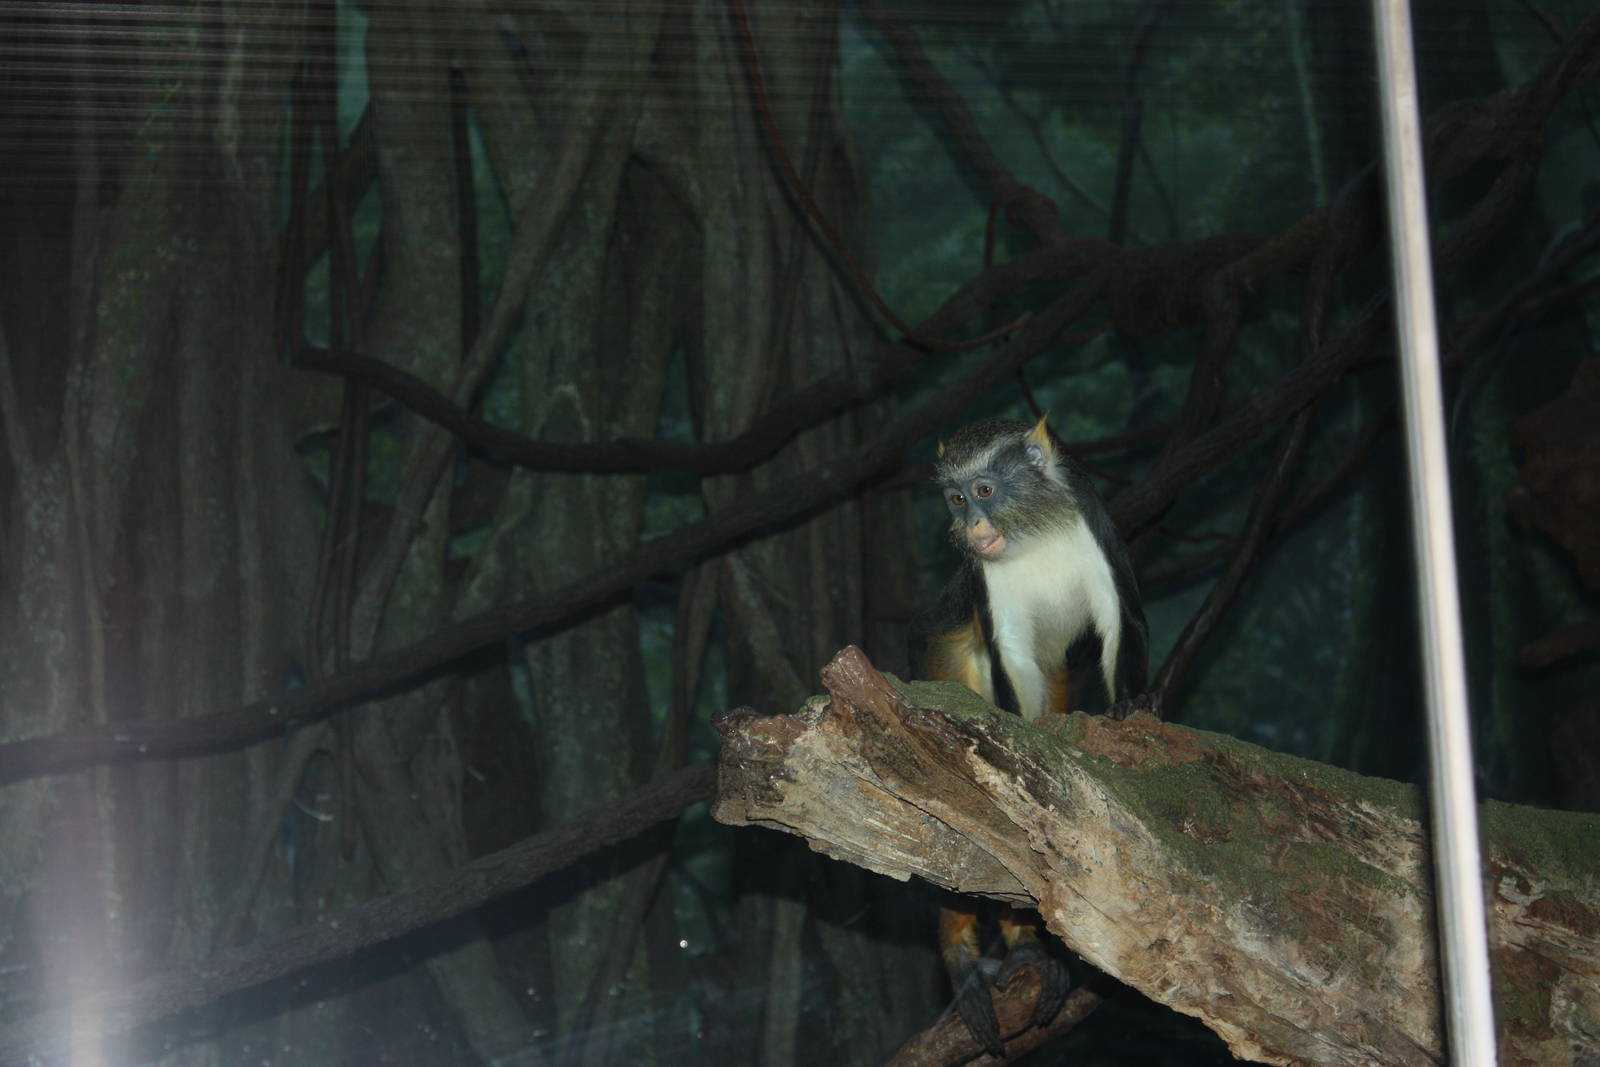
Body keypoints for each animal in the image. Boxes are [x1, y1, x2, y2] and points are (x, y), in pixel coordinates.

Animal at [908, 414, 1150, 1055]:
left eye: (985, 491)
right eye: (956, 499)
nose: (972, 525)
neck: (1033, 536)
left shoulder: (1094, 526)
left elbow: (1121, 618)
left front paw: (1135, 705)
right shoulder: (988, 591)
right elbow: (1010, 657)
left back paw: (1026, 953)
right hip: (943, 658)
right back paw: (966, 966)